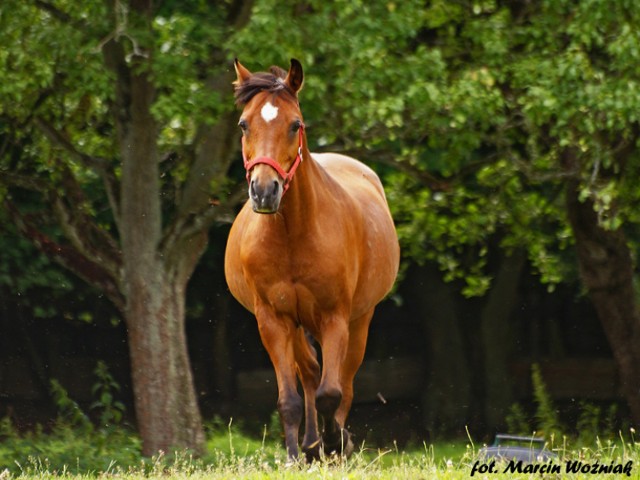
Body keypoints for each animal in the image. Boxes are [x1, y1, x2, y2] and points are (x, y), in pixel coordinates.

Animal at [222, 60, 398, 462]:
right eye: (243, 124)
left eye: (295, 124)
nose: (264, 191)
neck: (292, 234)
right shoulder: (273, 320)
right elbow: (290, 397)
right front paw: (294, 453)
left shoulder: (335, 317)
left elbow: (331, 392)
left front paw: (336, 442)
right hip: (297, 325)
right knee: (309, 372)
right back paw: (310, 444)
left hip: (359, 320)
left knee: (343, 382)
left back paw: (334, 442)